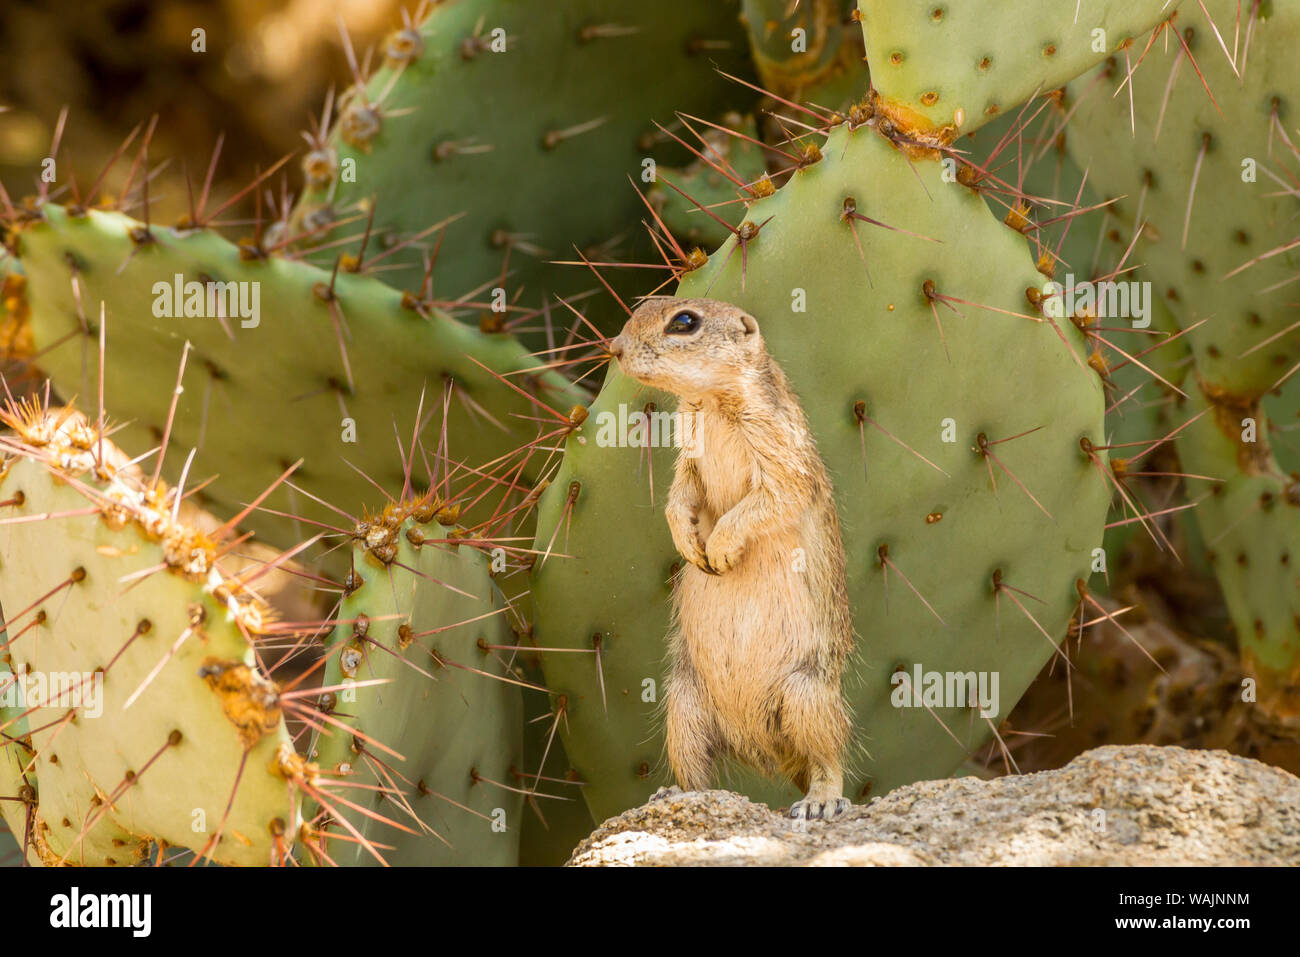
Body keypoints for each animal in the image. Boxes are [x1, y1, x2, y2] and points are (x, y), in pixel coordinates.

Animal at [609, 296, 854, 820]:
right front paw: (689, 544)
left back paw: (821, 801)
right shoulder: (686, 458)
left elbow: (765, 501)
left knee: (827, 758)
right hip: (683, 705)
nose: (613, 347)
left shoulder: (780, 457)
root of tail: (763, 747)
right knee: (696, 770)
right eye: (641, 305)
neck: (710, 406)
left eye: (684, 322)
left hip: (808, 697)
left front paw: (719, 549)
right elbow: (679, 497)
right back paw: (677, 795)